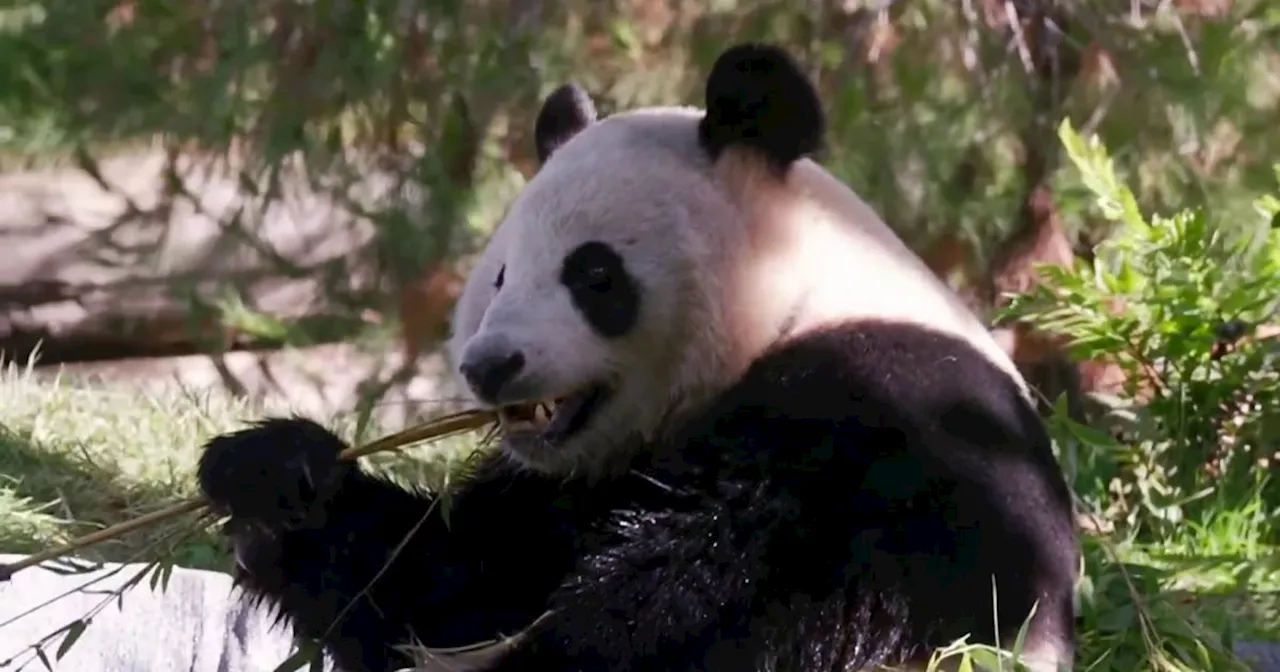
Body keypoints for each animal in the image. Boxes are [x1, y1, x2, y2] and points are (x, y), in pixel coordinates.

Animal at [197, 43, 1080, 670]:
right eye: (500, 275)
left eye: (594, 275)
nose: (491, 366)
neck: (792, 304)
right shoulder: (558, 488)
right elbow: (460, 583)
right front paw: (273, 478)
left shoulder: (891, 421)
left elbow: (733, 603)